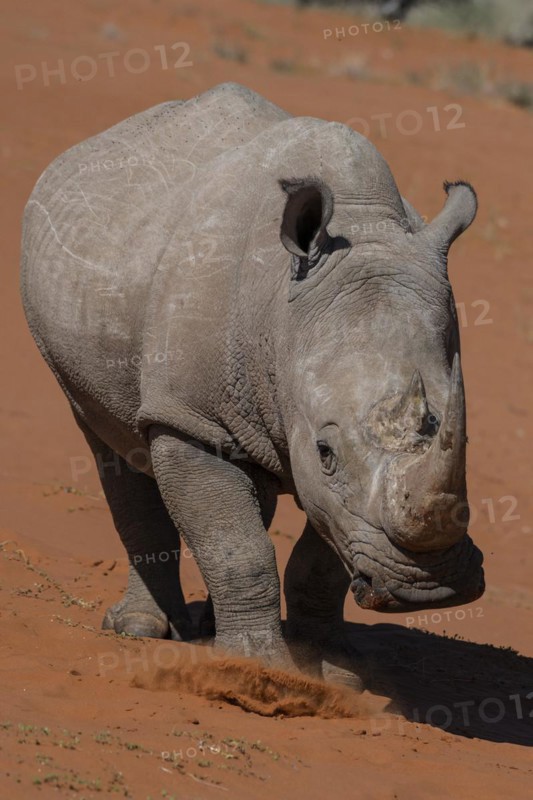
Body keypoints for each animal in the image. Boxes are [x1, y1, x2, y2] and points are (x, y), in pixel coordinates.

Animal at [21, 82, 484, 685]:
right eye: (327, 452)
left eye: (465, 438)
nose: (429, 589)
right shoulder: (192, 418)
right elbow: (238, 546)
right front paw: (257, 669)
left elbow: (318, 557)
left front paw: (332, 670)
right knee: (114, 448)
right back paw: (144, 630)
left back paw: (206, 627)